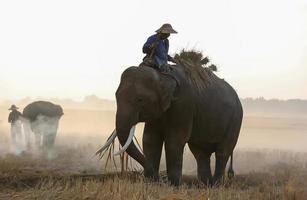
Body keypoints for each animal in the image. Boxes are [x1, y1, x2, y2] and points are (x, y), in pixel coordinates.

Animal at [98, 51, 243, 186]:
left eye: (140, 99)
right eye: (116, 96)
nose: (159, 179)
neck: (161, 75)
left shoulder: (183, 103)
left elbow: (174, 140)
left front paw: (174, 185)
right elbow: (150, 139)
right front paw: (152, 183)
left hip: (235, 120)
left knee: (222, 152)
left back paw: (215, 185)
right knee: (200, 153)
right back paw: (206, 185)